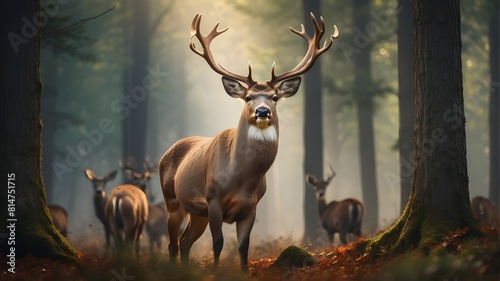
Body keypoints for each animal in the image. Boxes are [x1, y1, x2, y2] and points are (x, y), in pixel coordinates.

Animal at [160, 11, 340, 270]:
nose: (262, 111)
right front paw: (216, 271)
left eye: (275, 97)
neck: (241, 178)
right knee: (172, 244)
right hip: (171, 200)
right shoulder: (213, 199)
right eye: (247, 97)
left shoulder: (252, 206)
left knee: (184, 243)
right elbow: (218, 244)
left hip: (196, 212)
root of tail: (165, 153)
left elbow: (244, 247)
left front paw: (243, 271)